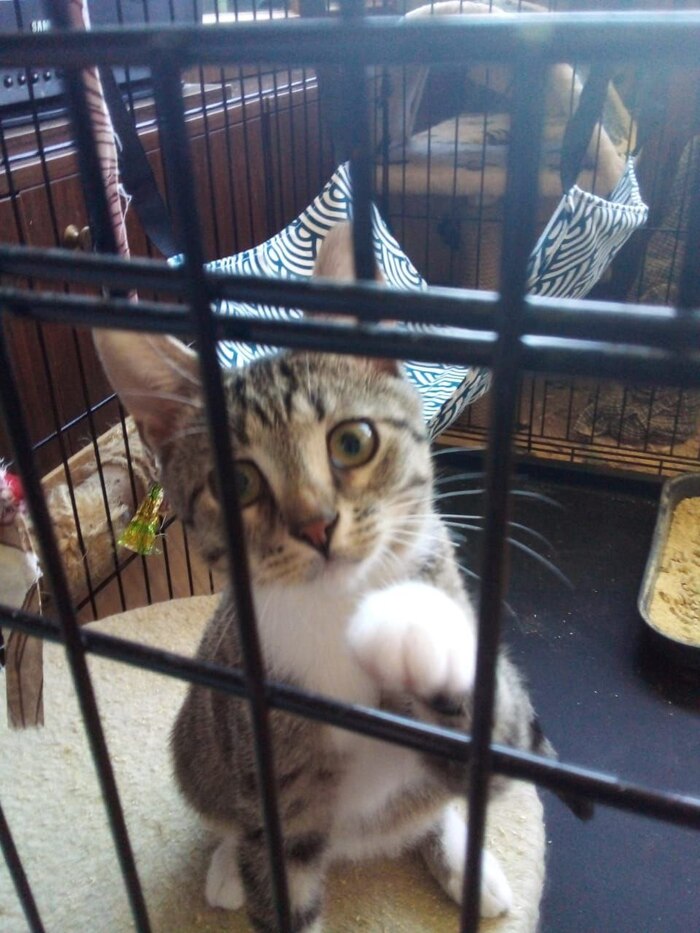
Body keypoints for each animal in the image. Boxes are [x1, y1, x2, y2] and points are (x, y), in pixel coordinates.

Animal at [94, 222, 576, 933]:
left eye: (353, 442)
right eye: (237, 483)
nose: (317, 525)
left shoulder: (507, 735)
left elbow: (498, 735)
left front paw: (419, 628)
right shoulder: (273, 779)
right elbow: (278, 878)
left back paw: (468, 863)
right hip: (199, 742)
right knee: (227, 814)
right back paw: (226, 866)